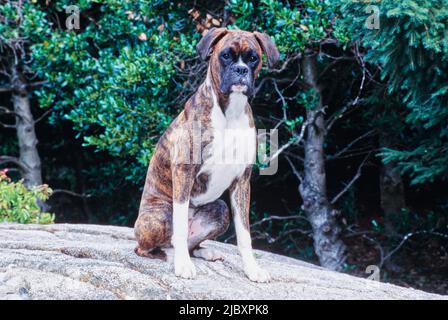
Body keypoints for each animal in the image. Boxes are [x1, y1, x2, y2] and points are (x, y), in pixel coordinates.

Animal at [135, 28, 278, 282]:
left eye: (253, 58)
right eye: (226, 56)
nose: (241, 70)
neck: (230, 112)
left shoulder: (242, 182)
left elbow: (244, 235)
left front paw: (252, 269)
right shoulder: (184, 170)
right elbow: (181, 226)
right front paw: (183, 265)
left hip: (220, 209)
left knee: (192, 243)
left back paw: (205, 252)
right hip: (159, 217)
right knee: (151, 247)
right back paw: (171, 256)